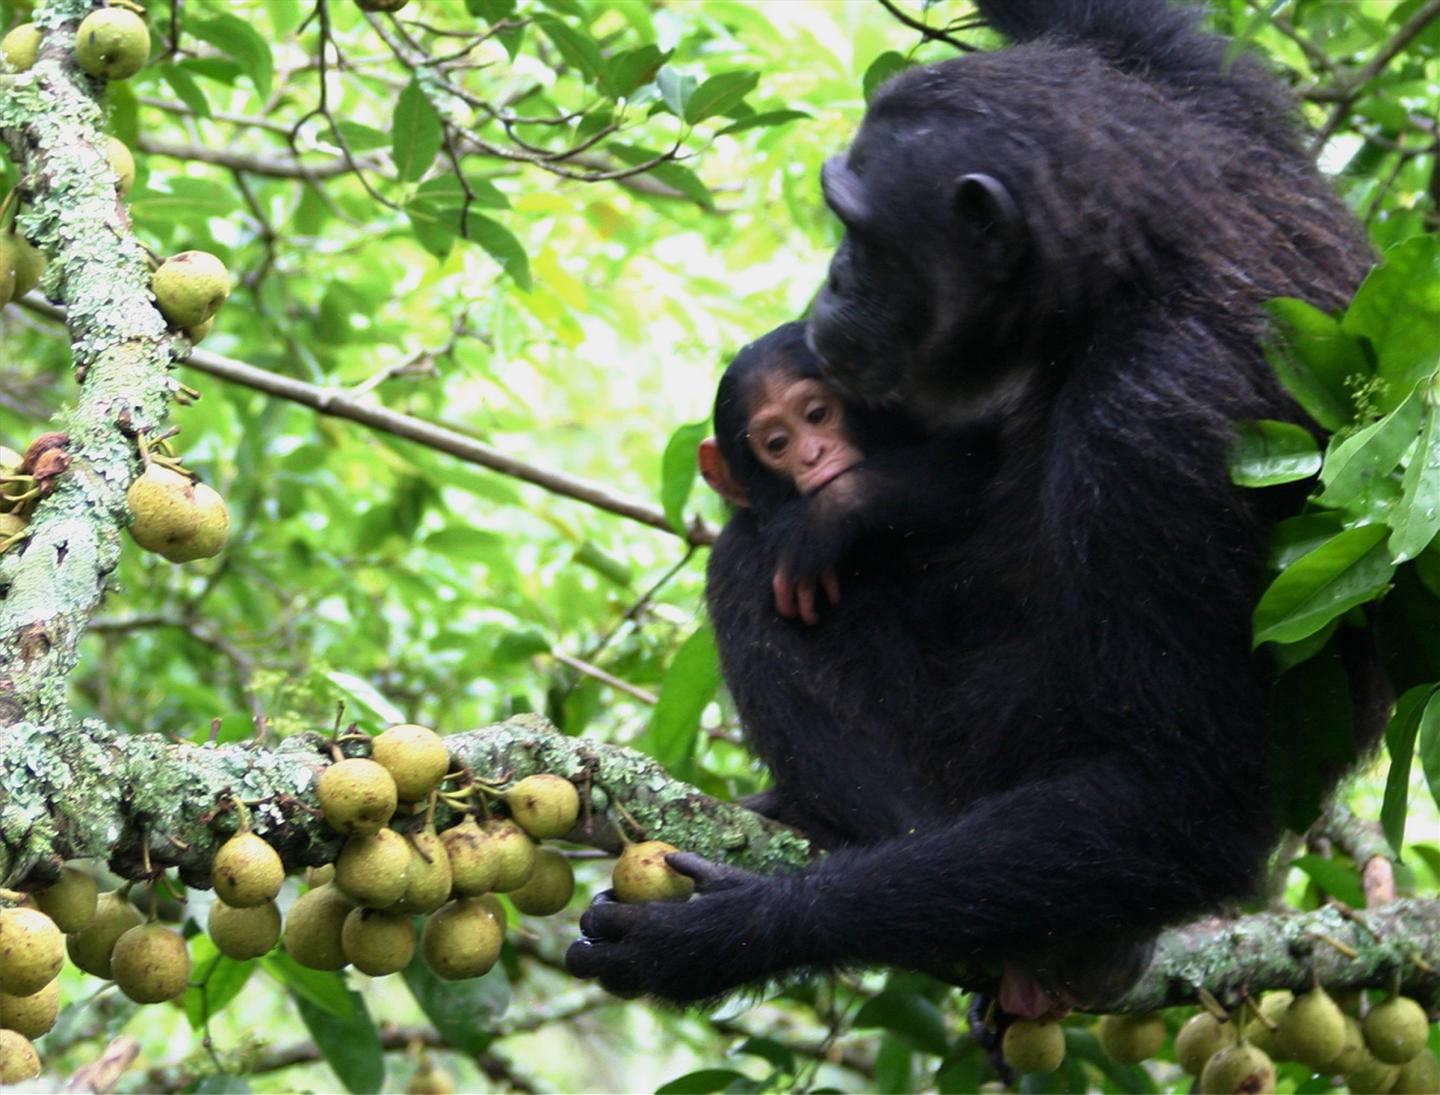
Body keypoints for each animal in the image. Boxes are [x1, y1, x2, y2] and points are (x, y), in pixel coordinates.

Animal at [561, 0, 1370, 1008]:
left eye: (859, 233)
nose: (832, 279)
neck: (1119, 279)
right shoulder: (1217, 117)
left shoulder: (1162, 426)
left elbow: (1184, 792)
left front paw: (725, 932)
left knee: (750, 562)